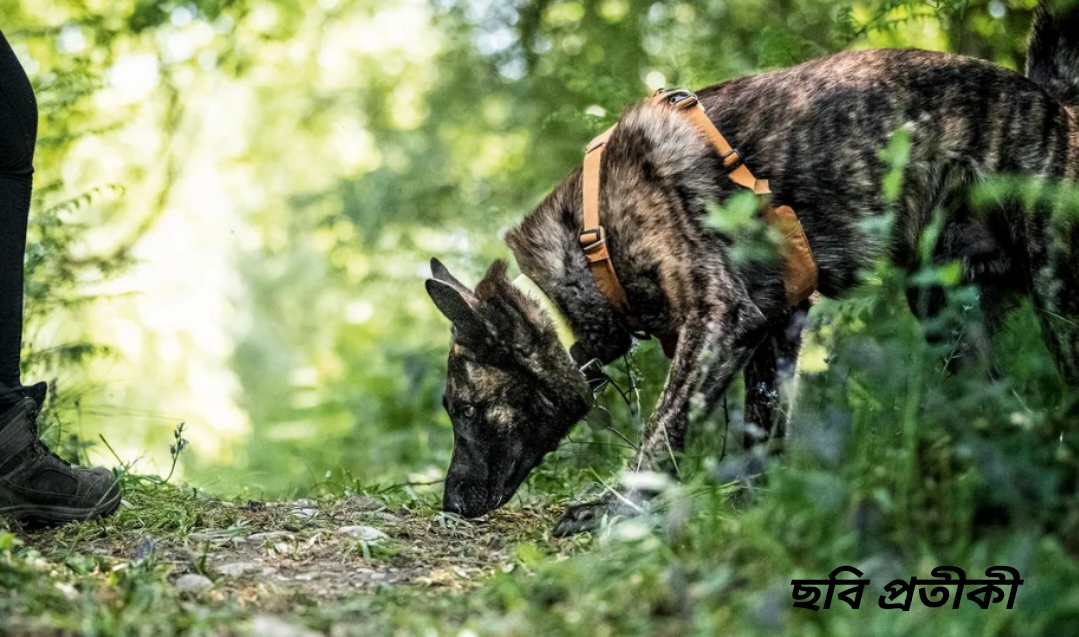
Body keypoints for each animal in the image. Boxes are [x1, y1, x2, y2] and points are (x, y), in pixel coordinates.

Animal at [425, 0, 1079, 535]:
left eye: (464, 409)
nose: (450, 504)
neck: (592, 239)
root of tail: (1054, 103)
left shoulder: (719, 318)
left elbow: (661, 432)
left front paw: (613, 509)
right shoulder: (776, 329)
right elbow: (762, 432)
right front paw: (750, 514)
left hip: (1056, 293)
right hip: (947, 313)